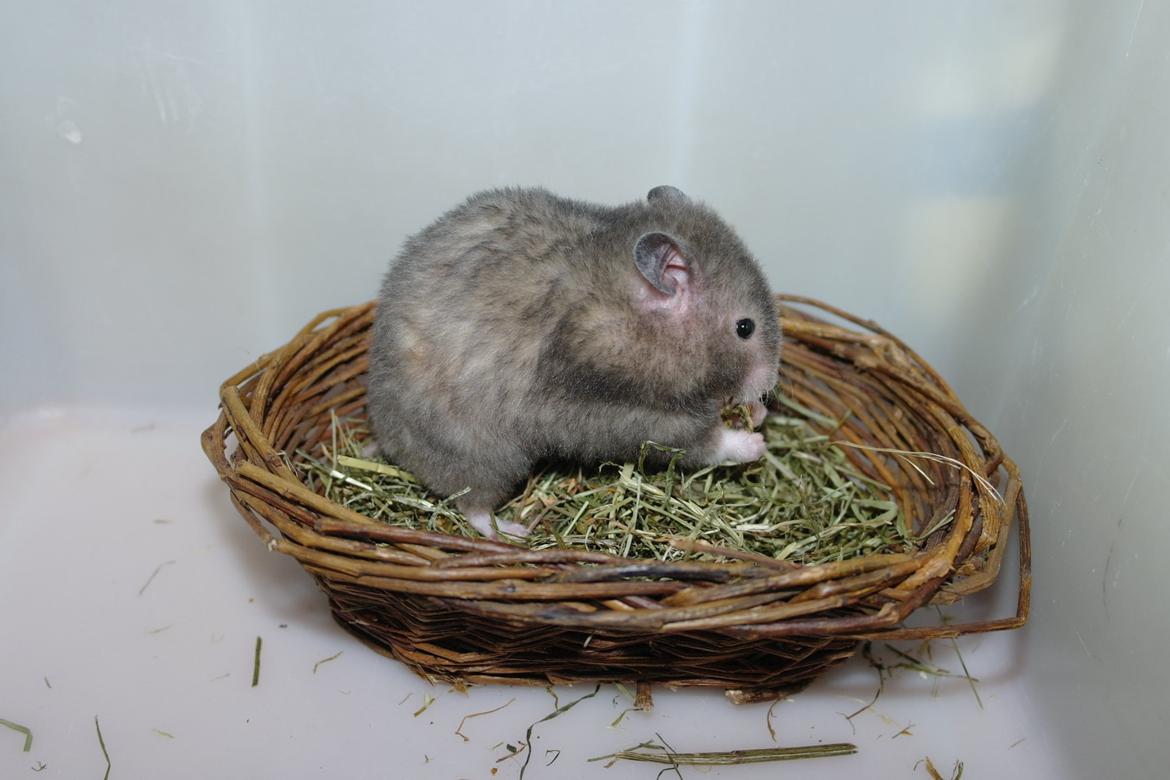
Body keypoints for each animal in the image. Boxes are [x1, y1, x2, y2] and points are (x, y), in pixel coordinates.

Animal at [367, 186, 781, 539]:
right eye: (745, 328)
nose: (770, 382)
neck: (635, 314)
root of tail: (385, 437)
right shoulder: (619, 415)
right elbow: (698, 441)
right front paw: (755, 443)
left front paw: (756, 413)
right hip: (483, 456)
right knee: (473, 506)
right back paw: (513, 532)